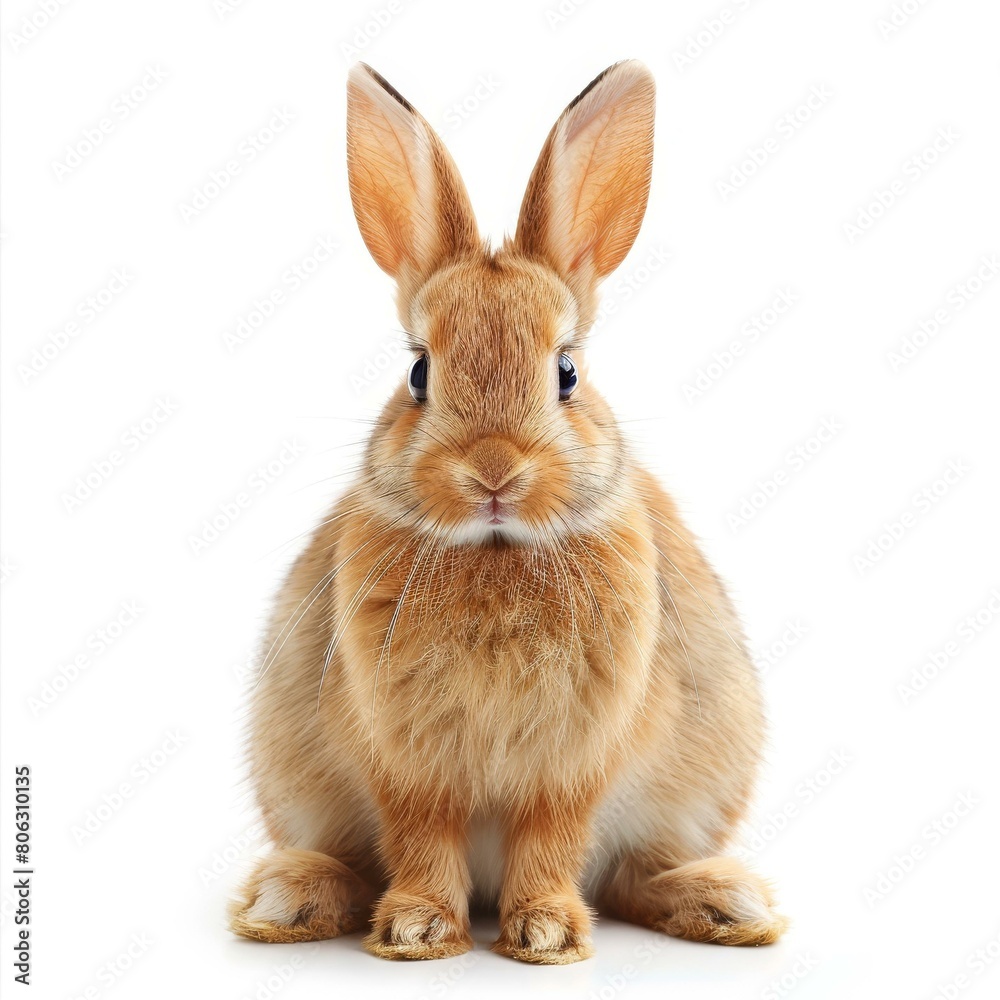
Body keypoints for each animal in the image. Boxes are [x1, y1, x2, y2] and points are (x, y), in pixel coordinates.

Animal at [228, 59, 787, 965]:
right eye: (419, 373)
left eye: (567, 372)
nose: (494, 470)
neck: (496, 549)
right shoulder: (405, 757)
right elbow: (420, 834)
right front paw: (419, 930)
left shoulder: (573, 762)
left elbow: (552, 838)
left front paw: (547, 935)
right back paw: (291, 898)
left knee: (632, 876)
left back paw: (725, 901)